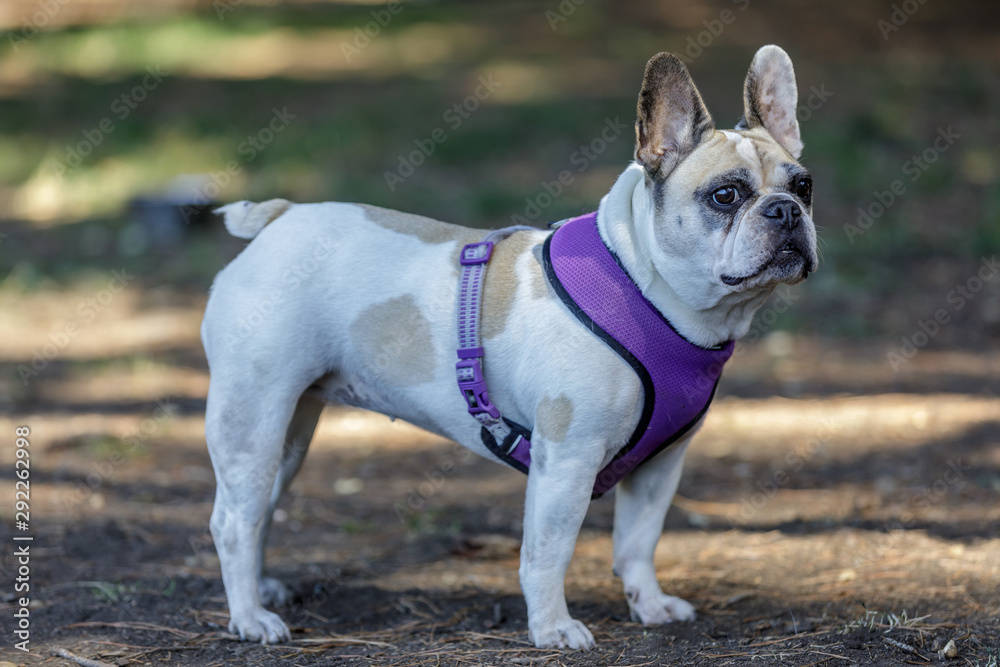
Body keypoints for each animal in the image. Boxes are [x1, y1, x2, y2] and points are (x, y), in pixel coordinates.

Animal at [201, 47, 812, 652]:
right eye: (726, 195)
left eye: (804, 186)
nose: (785, 210)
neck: (647, 289)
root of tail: (278, 219)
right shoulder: (566, 461)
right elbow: (548, 554)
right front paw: (552, 627)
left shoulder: (661, 465)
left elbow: (638, 541)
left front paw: (650, 604)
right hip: (251, 419)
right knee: (232, 520)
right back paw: (250, 617)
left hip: (289, 434)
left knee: (258, 509)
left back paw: (261, 591)